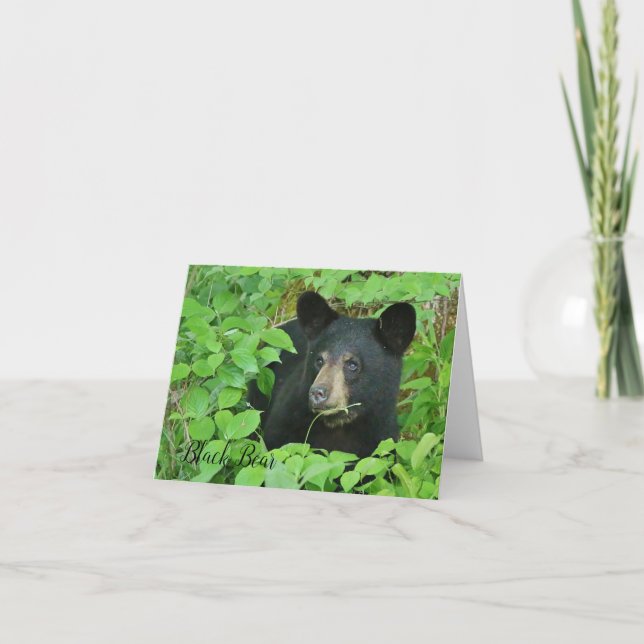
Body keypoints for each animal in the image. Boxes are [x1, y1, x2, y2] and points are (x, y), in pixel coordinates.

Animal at [248, 291, 416, 457]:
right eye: (319, 360)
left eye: (352, 364)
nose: (317, 392)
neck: (337, 425)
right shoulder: (286, 422)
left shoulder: (380, 438)